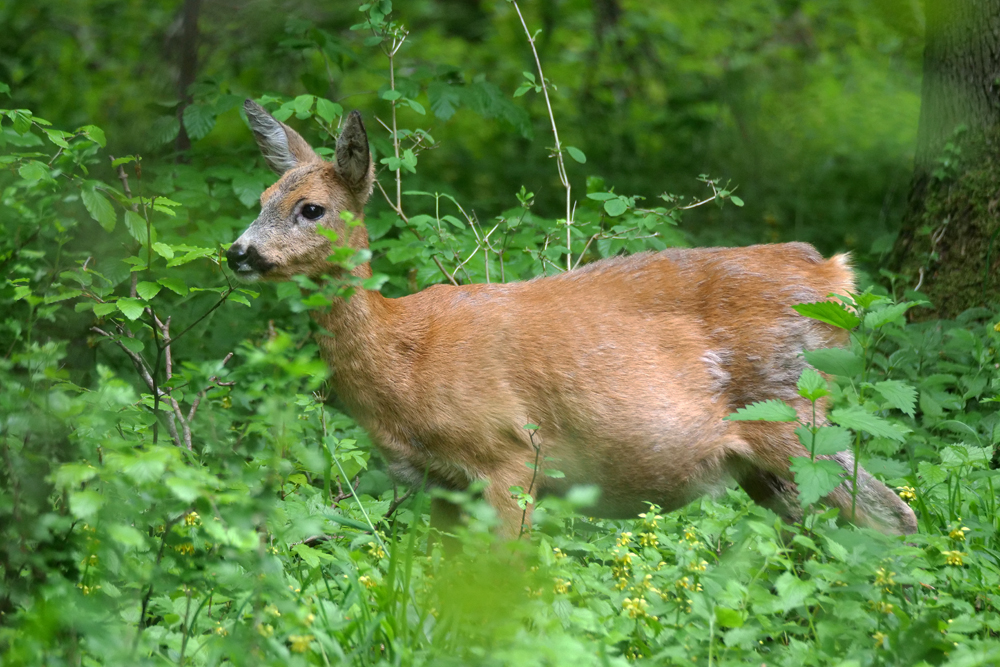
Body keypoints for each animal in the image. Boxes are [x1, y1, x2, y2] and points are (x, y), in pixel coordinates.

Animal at [230, 99, 916, 536]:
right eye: (261, 199)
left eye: (311, 208)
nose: (237, 253)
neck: (404, 354)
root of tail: (835, 277)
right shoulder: (445, 483)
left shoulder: (509, 456)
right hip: (768, 462)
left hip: (793, 413)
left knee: (891, 516)